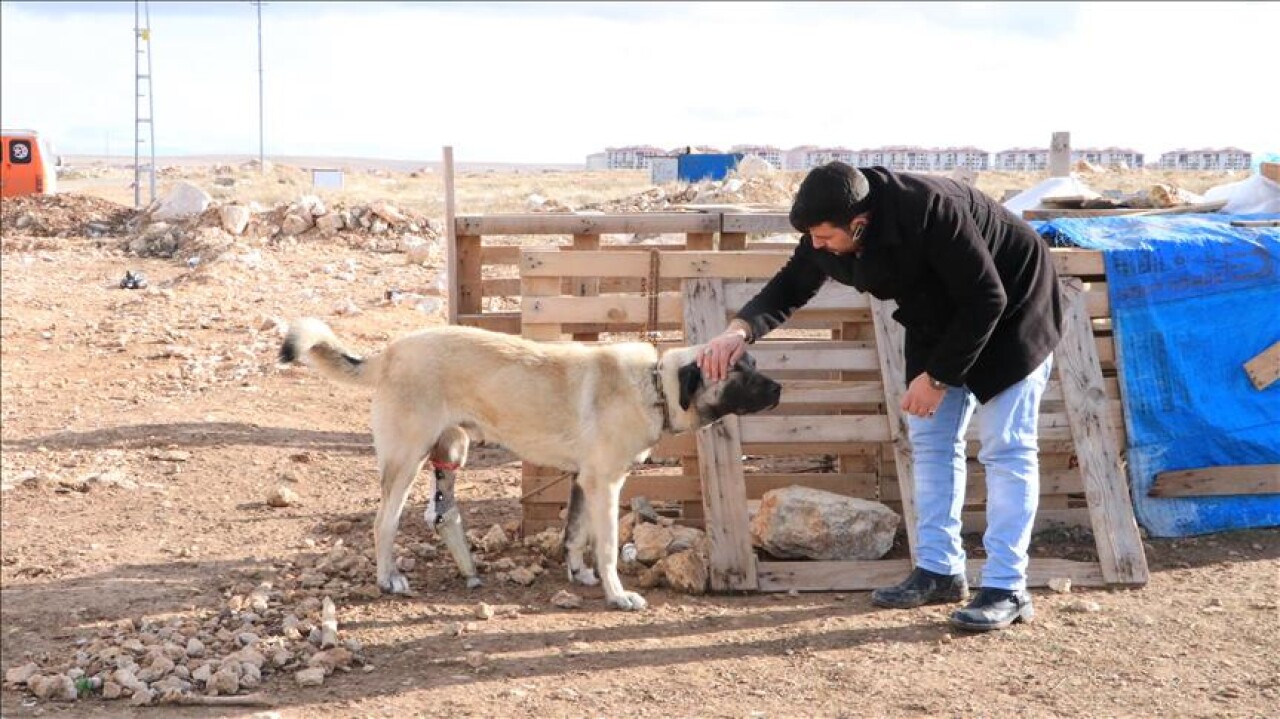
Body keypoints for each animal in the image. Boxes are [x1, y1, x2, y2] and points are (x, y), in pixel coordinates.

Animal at [281, 322, 778, 606]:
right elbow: (606, 546)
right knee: (383, 521)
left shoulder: (584, 480)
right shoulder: (606, 484)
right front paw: (617, 595)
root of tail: (389, 352)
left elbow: (576, 533)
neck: (656, 383)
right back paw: (389, 579)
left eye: (754, 361)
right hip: (406, 460)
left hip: (451, 450)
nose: (779, 389)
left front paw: (579, 573)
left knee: (431, 513)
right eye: (738, 371)